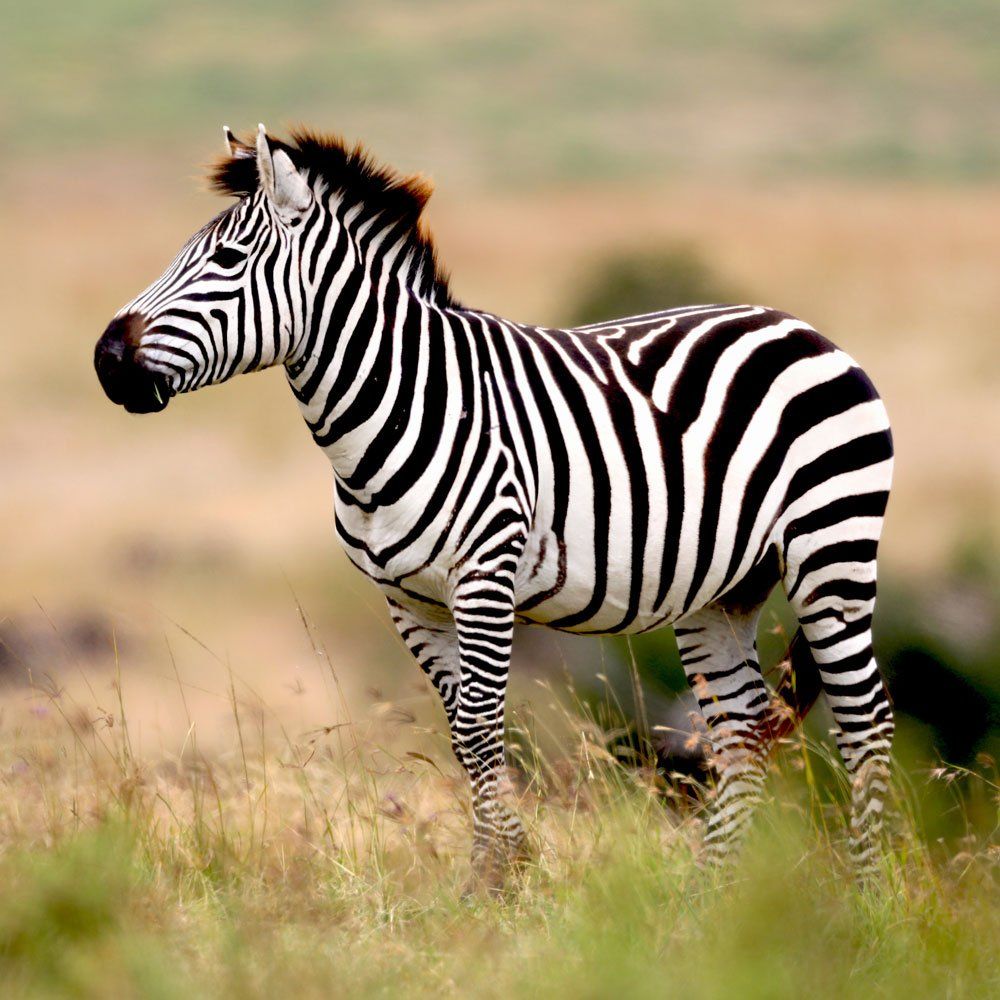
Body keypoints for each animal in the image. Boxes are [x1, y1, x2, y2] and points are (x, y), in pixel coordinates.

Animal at [95, 125, 895, 889]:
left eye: (228, 260)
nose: (106, 359)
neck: (395, 411)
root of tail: (799, 327)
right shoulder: (406, 598)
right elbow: (461, 734)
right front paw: (508, 867)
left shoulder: (485, 577)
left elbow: (481, 729)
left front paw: (492, 882)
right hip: (722, 591)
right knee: (741, 734)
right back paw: (705, 898)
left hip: (832, 552)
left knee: (866, 724)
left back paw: (867, 896)